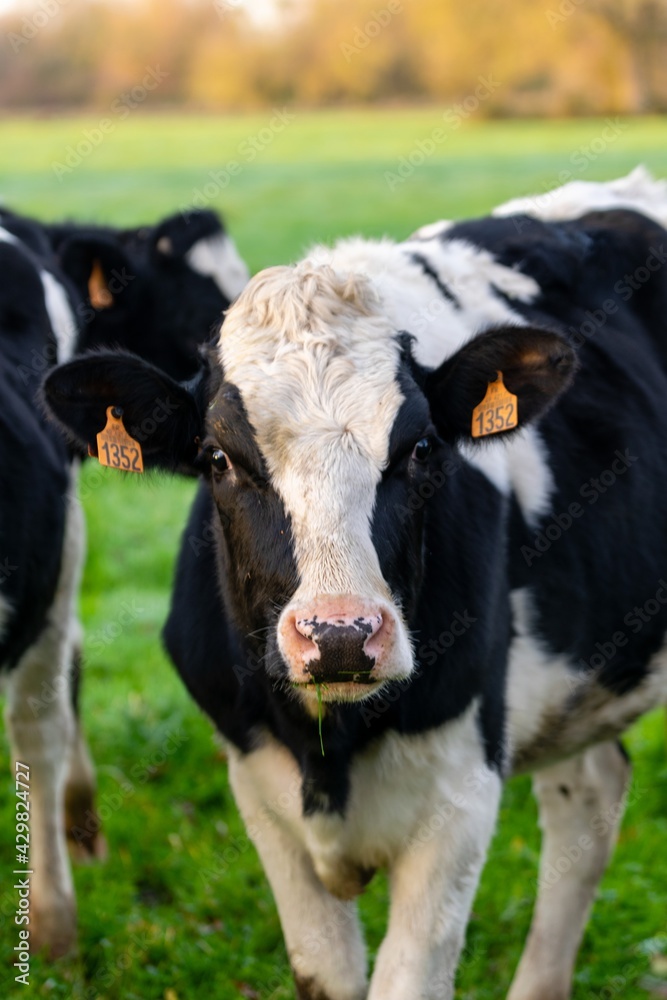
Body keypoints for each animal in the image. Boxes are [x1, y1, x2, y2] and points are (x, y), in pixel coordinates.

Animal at [43, 174, 667, 1000]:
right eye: (217, 458)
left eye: (421, 447)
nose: (338, 635)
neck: (330, 753)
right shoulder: (256, 783)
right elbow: (326, 975)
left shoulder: (462, 792)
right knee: (589, 798)